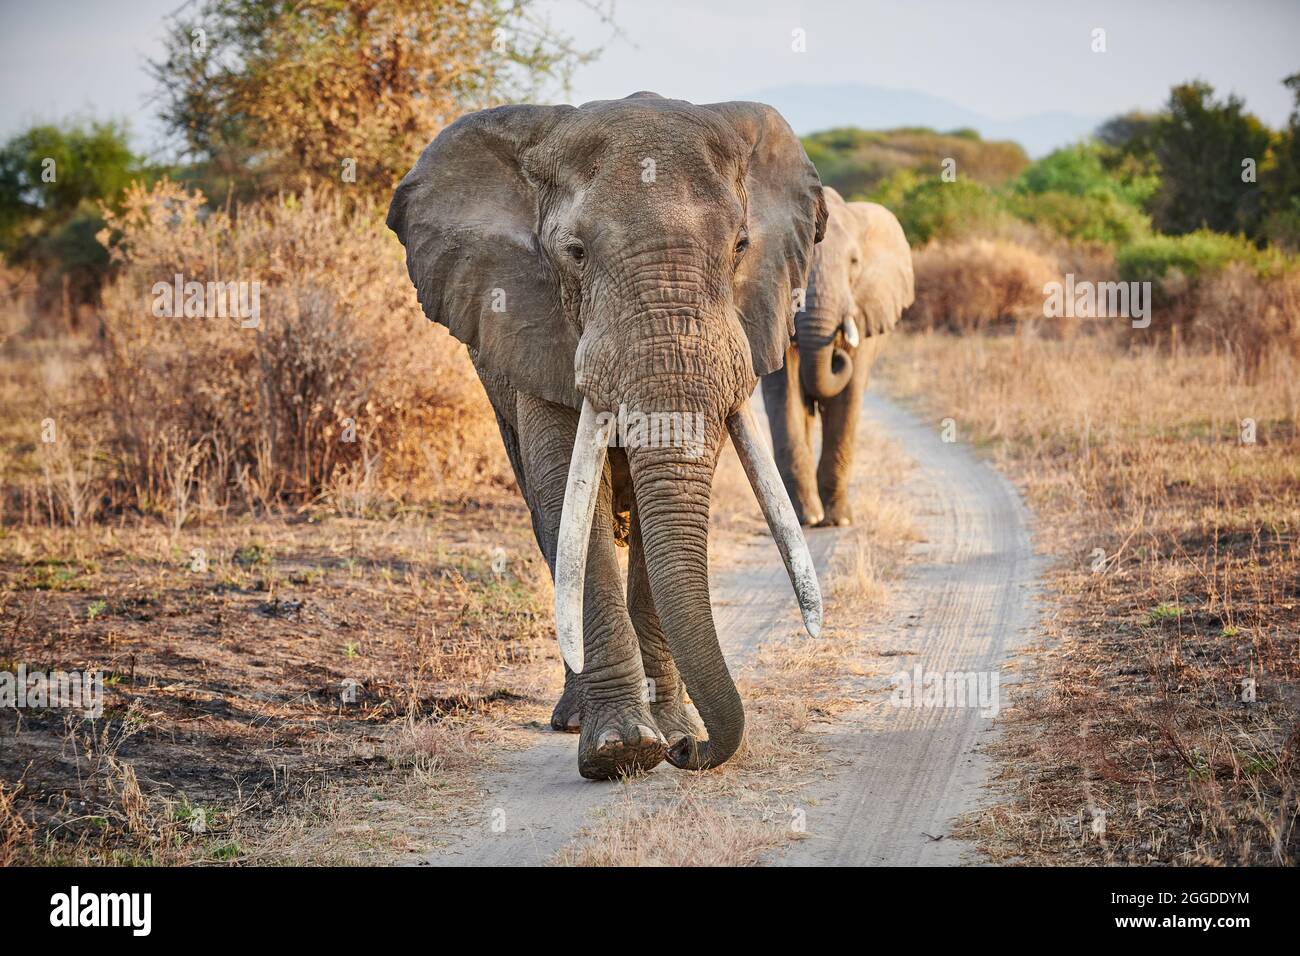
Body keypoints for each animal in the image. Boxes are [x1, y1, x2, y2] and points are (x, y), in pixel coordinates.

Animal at [384, 93, 826, 780]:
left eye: (740, 246)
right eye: (575, 252)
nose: (690, 754)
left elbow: (655, 513)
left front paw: (672, 732)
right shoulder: (535, 329)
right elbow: (569, 499)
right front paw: (623, 749)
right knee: (549, 524)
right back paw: (574, 719)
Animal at [759, 184, 915, 530]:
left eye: (854, 262)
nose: (836, 355)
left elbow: (849, 393)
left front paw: (838, 520)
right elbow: (784, 393)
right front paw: (808, 517)